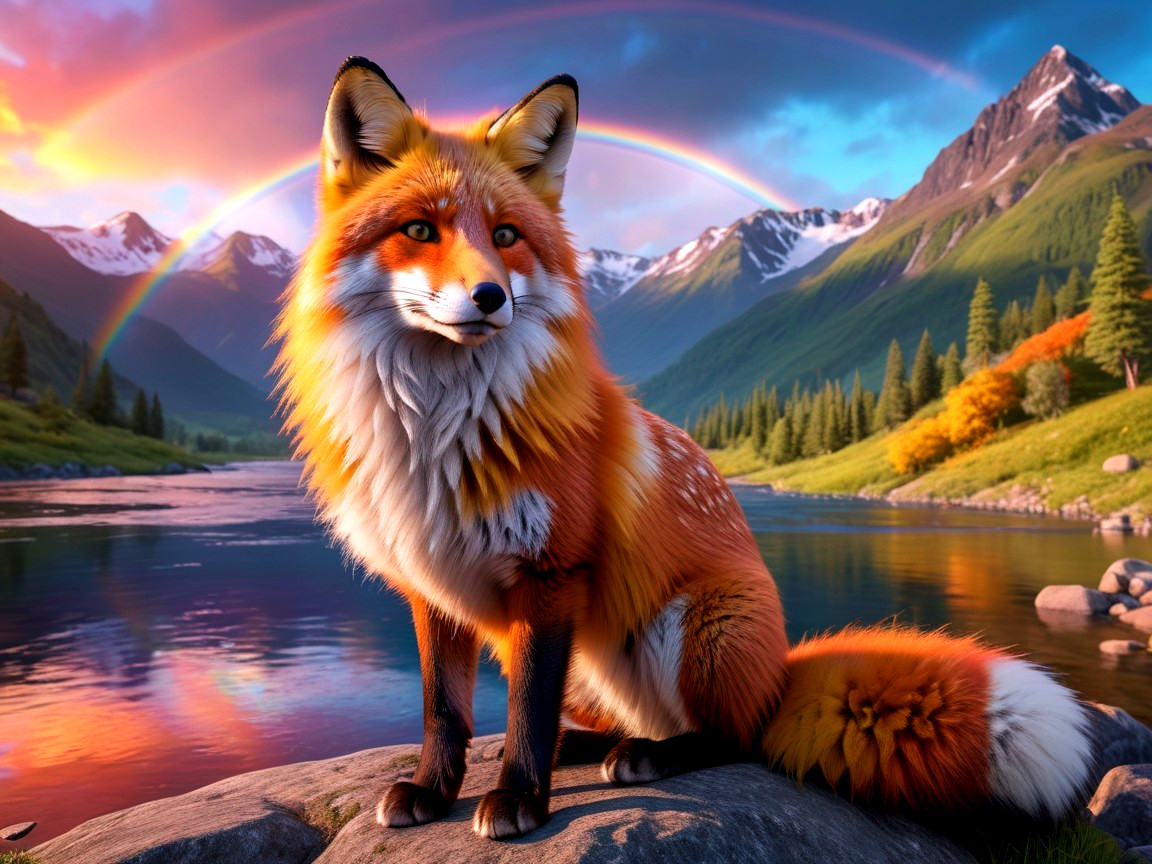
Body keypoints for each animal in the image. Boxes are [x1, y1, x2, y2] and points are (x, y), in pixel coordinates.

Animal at [274, 56, 1095, 841]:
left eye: (506, 236)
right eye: (420, 230)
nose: (490, 298)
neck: (436, 434)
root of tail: (779, 674)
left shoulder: (552, 571)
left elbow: (527, 711)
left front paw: (518, 800)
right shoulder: (432, 584)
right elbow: (446, 711)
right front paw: (435, 790)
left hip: (693, 626)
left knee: (735, 736)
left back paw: (647, 756)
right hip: (586, 654)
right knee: (623, 719)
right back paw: (591, 745)